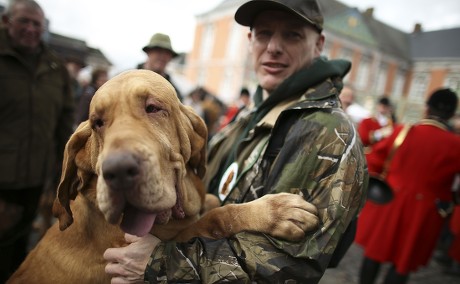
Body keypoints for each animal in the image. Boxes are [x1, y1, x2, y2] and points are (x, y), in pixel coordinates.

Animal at [7, 70, 318, 282]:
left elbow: (209, 205)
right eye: (97, 123)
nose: (118, 171)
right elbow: (218, 218)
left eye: (153, 108)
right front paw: (275, 212)